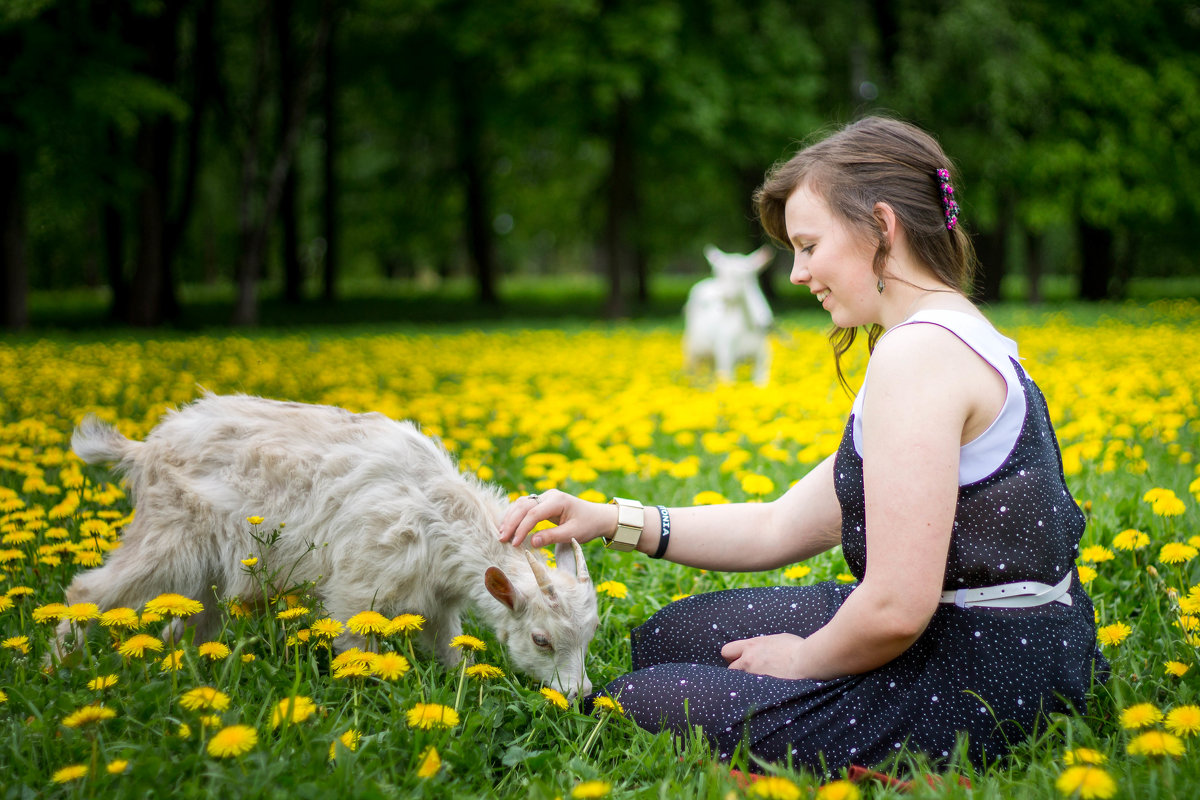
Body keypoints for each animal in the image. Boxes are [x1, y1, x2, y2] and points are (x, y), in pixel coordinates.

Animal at [63, 398, 597, 695]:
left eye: (589, 636)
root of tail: (142, 449)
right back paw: (58, 668)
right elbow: (360, 651)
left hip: (209, 568)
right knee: (88, 591)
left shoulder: (438, 604)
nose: (579, 694)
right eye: (541, 639)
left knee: (187, 627)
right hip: (168, 534)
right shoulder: (358, 591)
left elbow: (452, 654)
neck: (436, 516)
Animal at [686, 244, 777, 388]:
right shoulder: (725, 353)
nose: (725, 296)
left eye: (742, 276)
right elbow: (728, 381)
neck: (748, 325)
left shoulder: (763, 356)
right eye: (718, 274)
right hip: (693, 348)